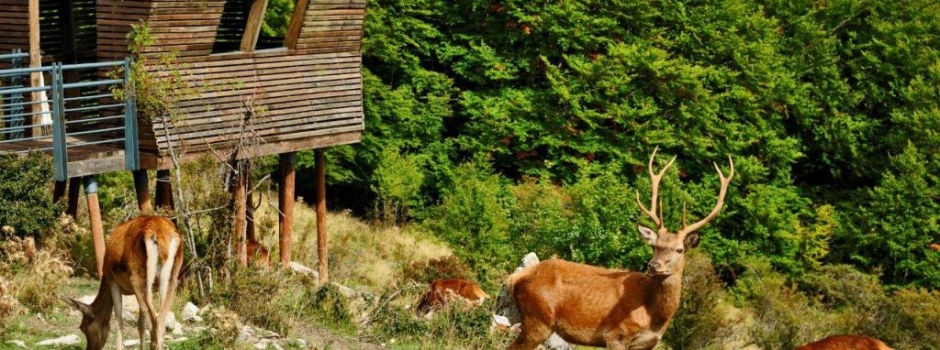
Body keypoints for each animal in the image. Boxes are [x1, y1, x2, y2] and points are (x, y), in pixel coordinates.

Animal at [64, 216, 184, 350]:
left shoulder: (113, 281)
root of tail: (158, 232)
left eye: (83, 327)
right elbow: (140, 324)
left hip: (138, 278)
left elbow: (119, 320)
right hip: (172, 279)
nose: (89, 349)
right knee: (161, 320)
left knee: (154, 322)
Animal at [506, 148, 736, 350]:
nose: (654, 265)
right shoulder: (616, 335)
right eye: (655, 246)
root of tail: (515, 277)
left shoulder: (648, 344)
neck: (654, 316)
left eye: (679, 249)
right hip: (538, 319)